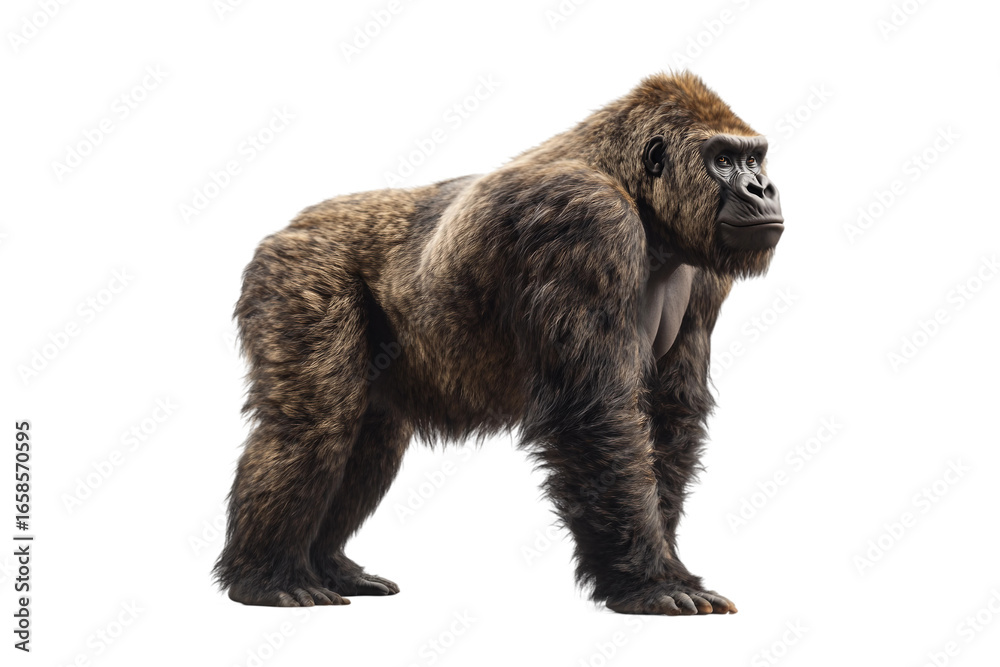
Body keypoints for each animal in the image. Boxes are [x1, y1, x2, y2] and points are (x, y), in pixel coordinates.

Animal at [215, 71, 783, 615]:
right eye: (724, 159)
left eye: (754, 157)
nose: (764, 188)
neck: (632, 188)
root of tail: (287, 229)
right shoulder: (582, 220)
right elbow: (596, 414)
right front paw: (650, 580)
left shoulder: (703, 274)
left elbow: (670, 415)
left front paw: (662, 564)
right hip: (293, 271)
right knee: (314, 424)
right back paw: (266, 578)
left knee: (371, 438)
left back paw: (328, 565)